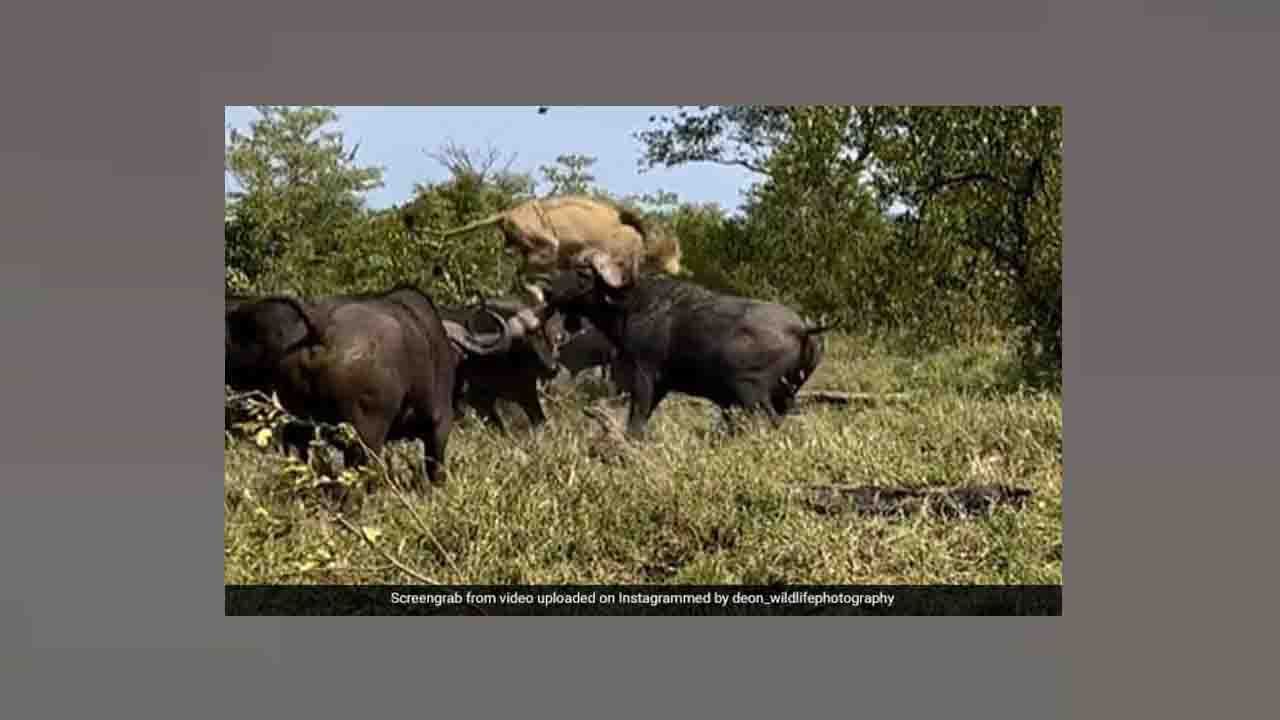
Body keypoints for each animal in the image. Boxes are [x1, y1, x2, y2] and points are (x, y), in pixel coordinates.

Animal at [537, 252, 829, 438]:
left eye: (583, 273)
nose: (547, 287)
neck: (632, 305)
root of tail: (801, 328)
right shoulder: (662, 385)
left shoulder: (644, 375)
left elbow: (637, 418)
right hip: (785, 396)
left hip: (752, 394)